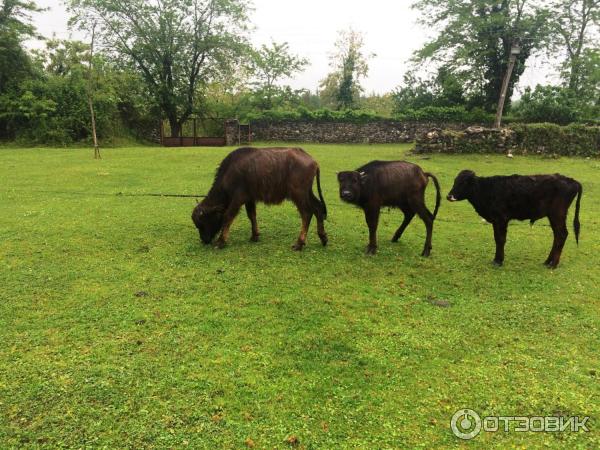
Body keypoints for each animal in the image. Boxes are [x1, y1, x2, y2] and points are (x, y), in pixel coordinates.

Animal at [192, 147, 328, 250]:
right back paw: (323, 237)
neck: (230, 173)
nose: (204, 240)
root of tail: (312, 161)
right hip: (307, 192)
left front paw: (221, 241)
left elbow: (228, 216)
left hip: (298, 194)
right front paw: (255, 236)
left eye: (203, 223)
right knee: (318, 208)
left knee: (307, 213)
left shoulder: (238, 198)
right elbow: (252, 215)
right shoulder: (249, 199)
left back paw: (299, 243)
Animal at [450, 169, 580, 268]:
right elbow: (497, 238)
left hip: (557, 215)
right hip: (553, 217)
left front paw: (498, 261)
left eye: (463, 183)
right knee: (557, 236)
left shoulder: (501, 219)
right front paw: (497, 259)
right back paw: (548, 261)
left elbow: (500, 239)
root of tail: (570, 180)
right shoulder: (496, 220)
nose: (448, 196)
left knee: (562, 235)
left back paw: (553, 264)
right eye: (455, 181)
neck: (486, 190)